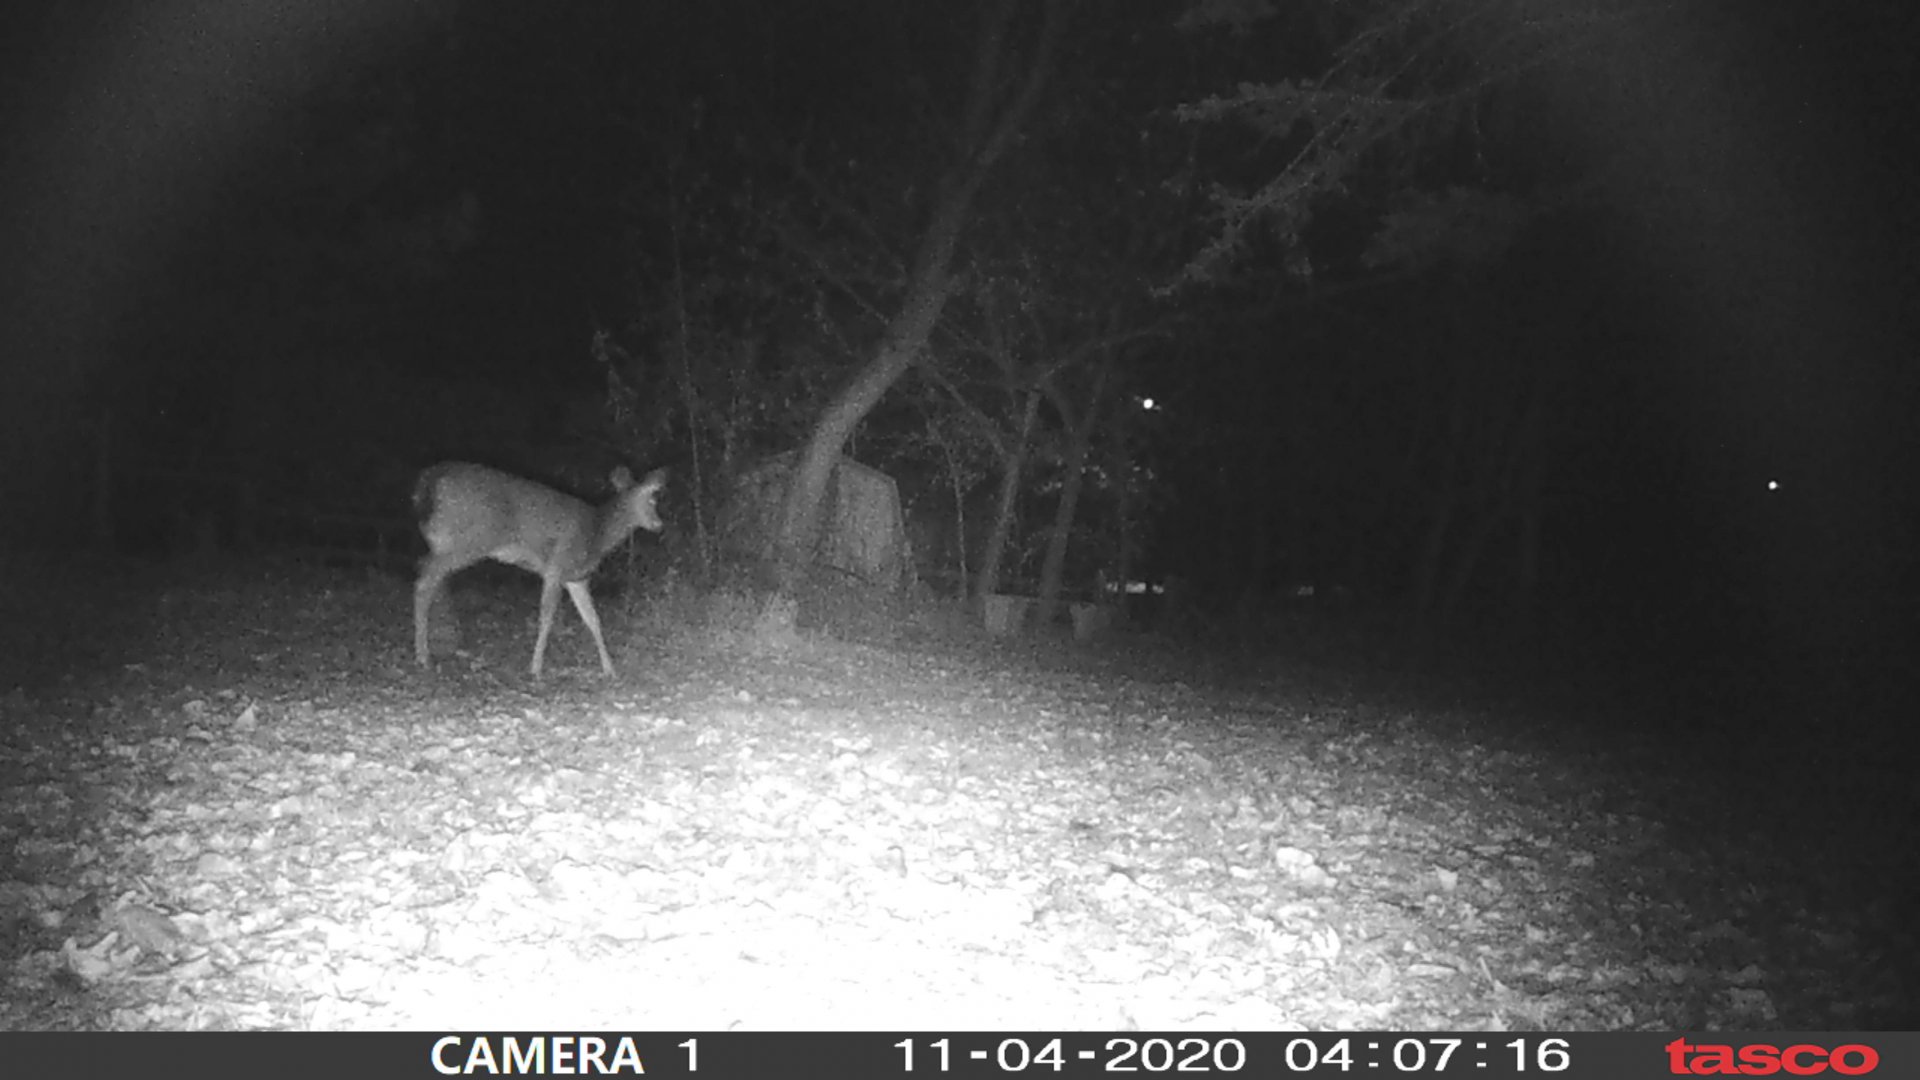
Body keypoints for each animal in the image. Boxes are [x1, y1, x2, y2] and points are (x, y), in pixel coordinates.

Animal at [412, 462, 667, 678]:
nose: (659, 525)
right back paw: (423, 656)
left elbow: (593, 619)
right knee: (424, 582)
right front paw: (535, 668)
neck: (597, 534)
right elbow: (547, 617)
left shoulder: (577, 578)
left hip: (445, 540)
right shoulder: (556, 567)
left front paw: (609, 669)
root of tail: (428, 481)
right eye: (652, 500)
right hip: (465, 540)